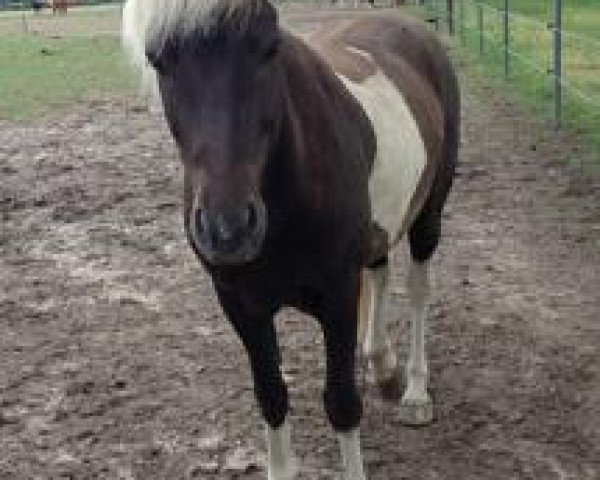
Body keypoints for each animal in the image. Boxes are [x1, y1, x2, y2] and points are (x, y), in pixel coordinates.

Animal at [122, 1, 460, 478]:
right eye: (158, 60)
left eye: (268, 47)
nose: (228, 229)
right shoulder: (240, 305)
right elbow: (272, 397)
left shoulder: (338, 296)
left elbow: (342, 404)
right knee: (379, 271)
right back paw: (381, 363)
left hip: (428, 216)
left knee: (417, 292)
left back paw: (415, 392)